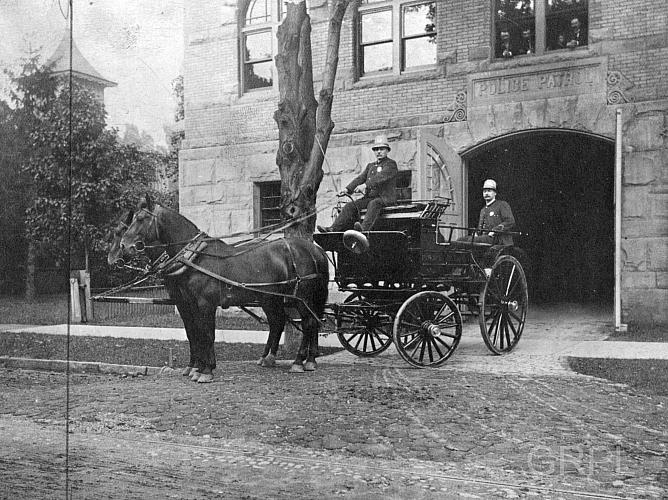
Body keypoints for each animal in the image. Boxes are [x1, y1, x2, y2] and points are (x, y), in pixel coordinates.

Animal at [113, 195, 330, 382]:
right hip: (271, 298)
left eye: (141, 219)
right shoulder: (188, 304)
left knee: (309, 323)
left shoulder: (205, 304)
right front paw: (196, 368)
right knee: (280, 322)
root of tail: (314, 249)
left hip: (301, 297)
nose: (124, 246)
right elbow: (195, 333)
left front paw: (206, 371)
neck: (196, 258)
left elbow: (207, 334)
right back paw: (281, 359)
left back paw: (300, 361)